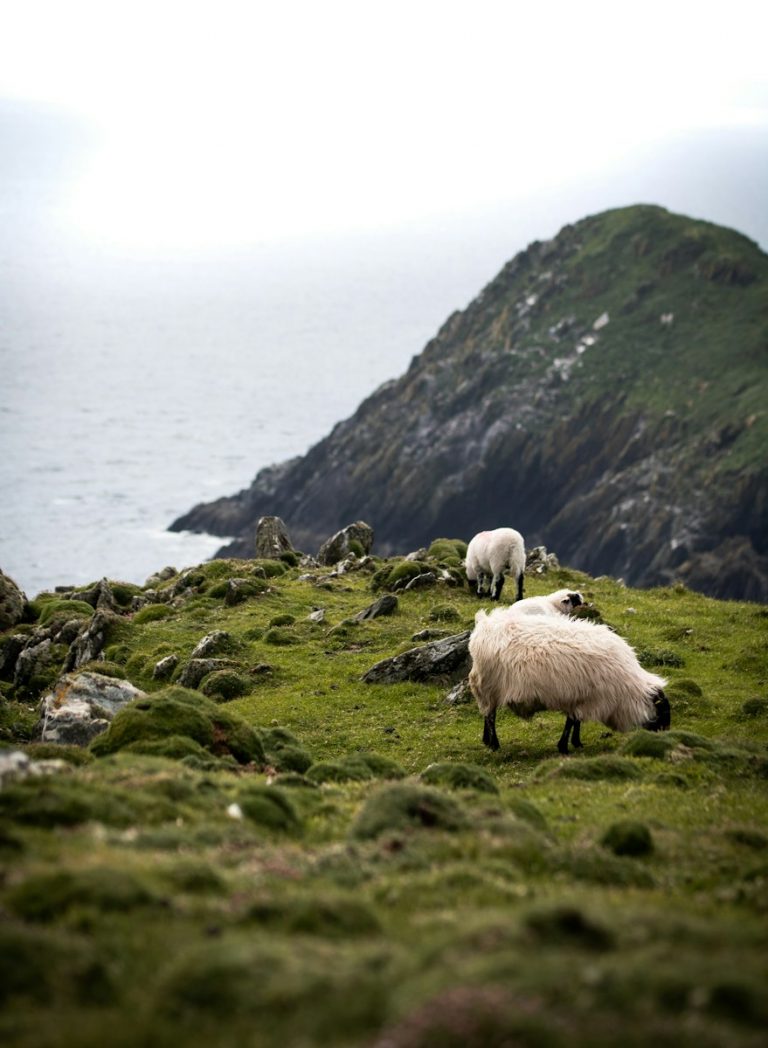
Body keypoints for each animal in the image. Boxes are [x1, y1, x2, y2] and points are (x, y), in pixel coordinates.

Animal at [468, 612, 671, 754]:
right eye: (662, 710)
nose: (666, 736)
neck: (627, 688)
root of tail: (484, 625)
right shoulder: (587, 699)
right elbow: (571, 722)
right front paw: (565, 747)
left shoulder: (580, 698)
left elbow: (574, 721)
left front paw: (576, 743)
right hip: (488, 686)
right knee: (490, 716)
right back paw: (494, 744)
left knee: (487, 714)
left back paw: (486, 740)